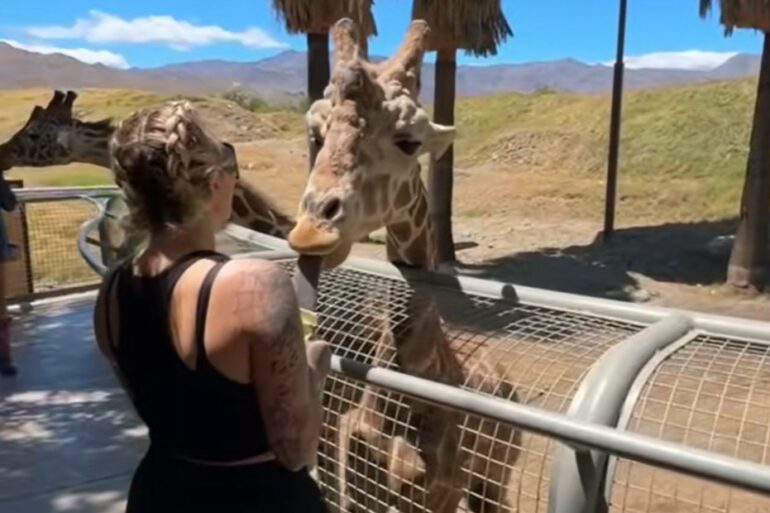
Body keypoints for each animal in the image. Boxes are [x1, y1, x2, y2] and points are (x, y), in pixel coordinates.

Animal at [287, 18, 521, 513]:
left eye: (410, 142)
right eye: (317, 135)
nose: (313, 230)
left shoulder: (438, 494)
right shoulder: (361, 490)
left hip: (495, 477)